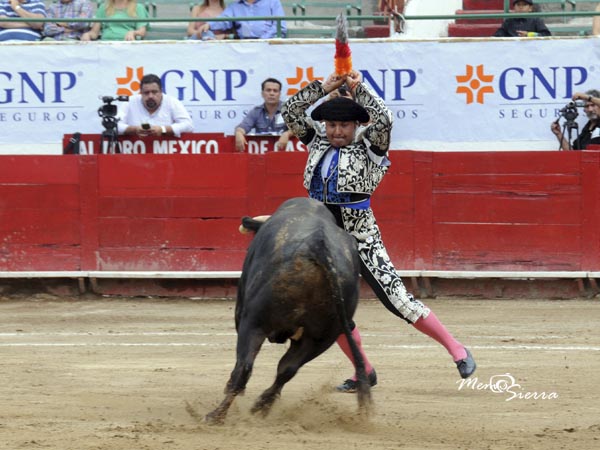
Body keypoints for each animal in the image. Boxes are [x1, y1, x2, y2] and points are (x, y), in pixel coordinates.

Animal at [206, 198, 370, 426]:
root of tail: (320, 246)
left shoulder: (242, 314)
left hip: (254, 323)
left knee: (245, 367)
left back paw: (216, 415)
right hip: (321, 338)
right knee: (287, 370)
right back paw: (261, 405)